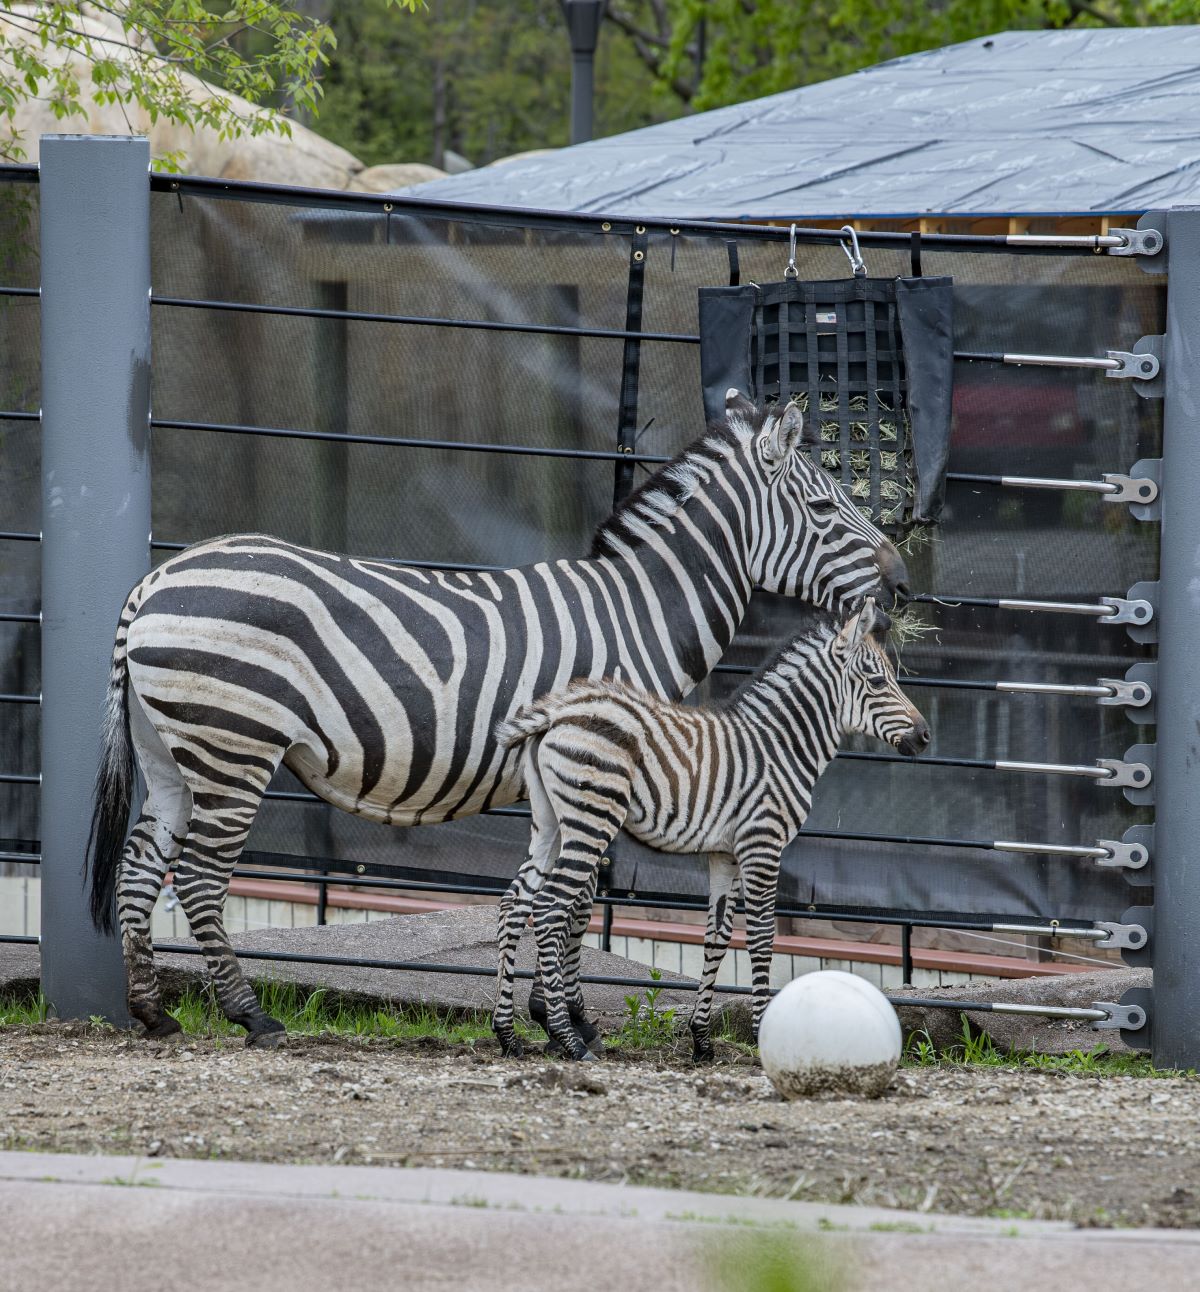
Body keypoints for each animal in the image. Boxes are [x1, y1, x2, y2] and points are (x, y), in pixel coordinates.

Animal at [492, 598, 928, 1062]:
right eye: (877, 681)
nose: (924, 735)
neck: (780, 745)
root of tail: (558, 711)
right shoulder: (763, 843)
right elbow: (760, 936)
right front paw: (760, 1032)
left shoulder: (726, 854)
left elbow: (717, 936)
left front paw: (701, 1040)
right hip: (591, 819)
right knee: (549, 908)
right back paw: (569, 1039)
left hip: (550, 823)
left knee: (514, 904)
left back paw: (507, 1034)